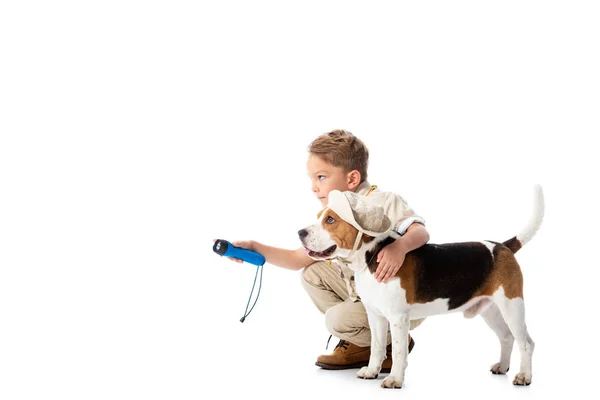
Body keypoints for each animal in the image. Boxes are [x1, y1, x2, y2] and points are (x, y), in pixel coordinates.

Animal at [298, 186, 544, 390]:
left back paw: (524, 377)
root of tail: (502, 246)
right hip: (490, 310)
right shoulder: (375, 316)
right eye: (319, 217)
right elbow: (377, 347)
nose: (300, 232)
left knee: (527, 343)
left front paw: (394, 380)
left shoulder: (398, 318)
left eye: (330, 220)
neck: (371, 255)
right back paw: (502, 366)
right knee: (507, 338)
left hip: (512, 307)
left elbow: (398, 351)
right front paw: (372, 371)